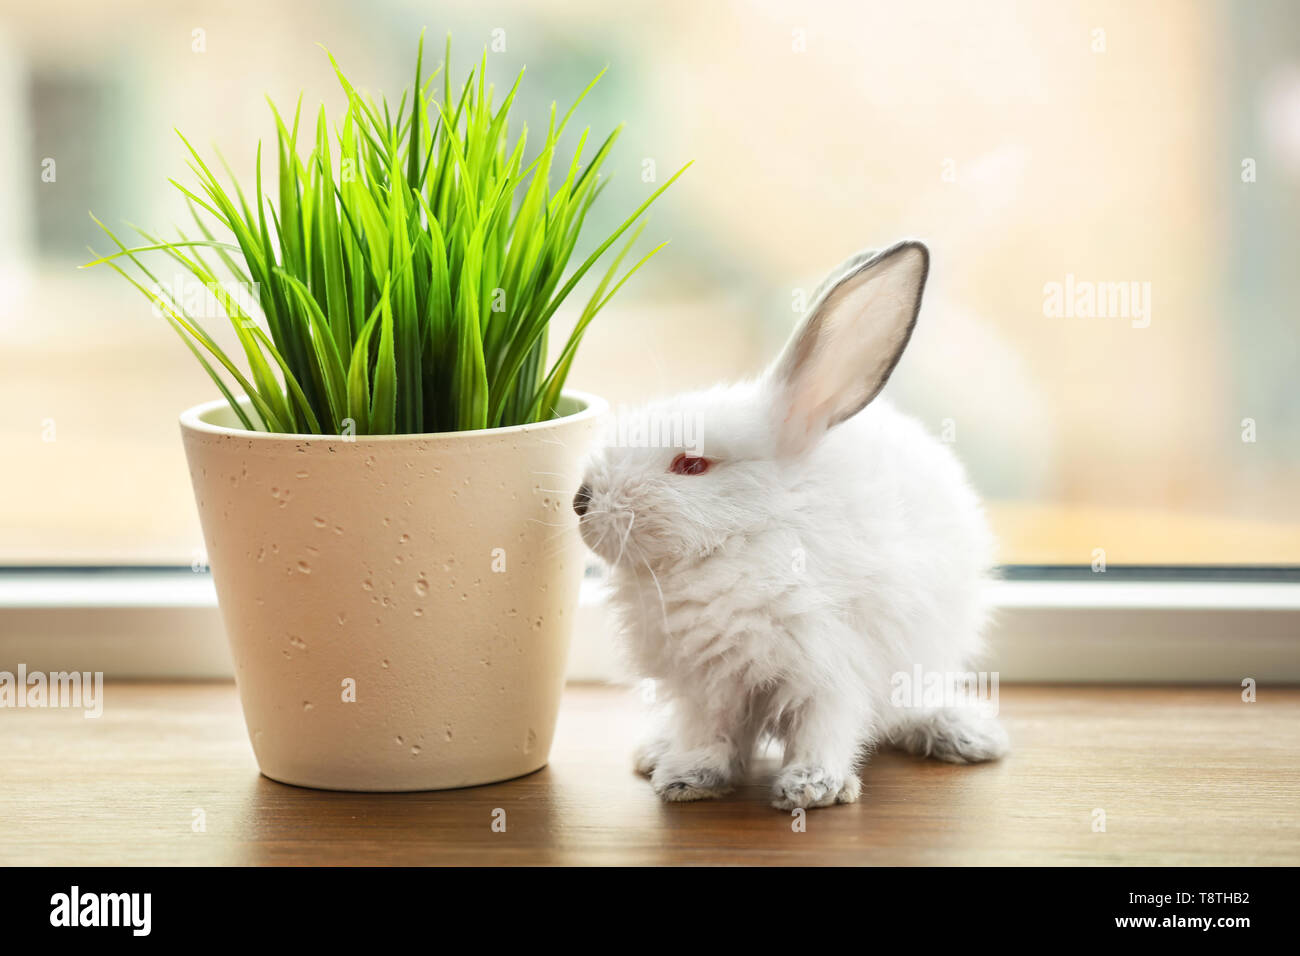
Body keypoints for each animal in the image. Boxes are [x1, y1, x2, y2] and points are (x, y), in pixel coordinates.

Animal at [573, 241, 1008, 810]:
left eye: (691, 464)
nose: (580, 502)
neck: (744, 538)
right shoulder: (706, 684)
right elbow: (709, 732)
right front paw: (689, 778)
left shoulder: (830, 668)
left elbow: (824, 728)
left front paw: (810, 788)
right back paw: (655, 751)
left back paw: (968, 736)